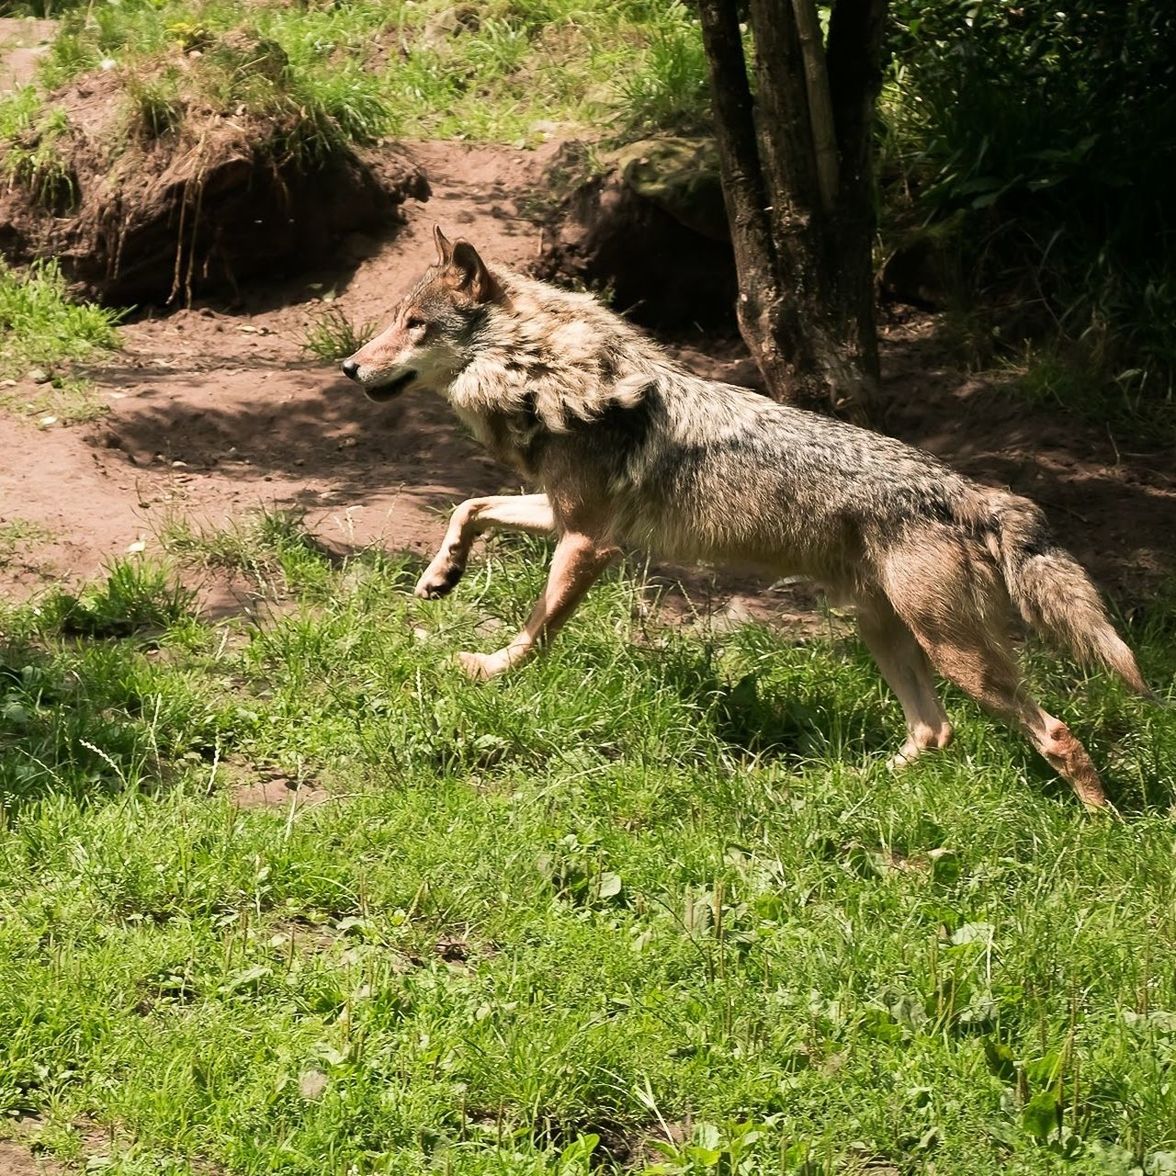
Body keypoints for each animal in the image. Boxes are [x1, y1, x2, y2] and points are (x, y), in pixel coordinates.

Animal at [341, 224, 1147, 804]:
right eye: (392, 322)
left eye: (415, 325)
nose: (348, 367)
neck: (548, 371)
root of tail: (967, 491)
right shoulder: (564, 514)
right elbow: (469, 506)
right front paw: (440, 577)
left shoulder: (589, 541)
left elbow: (537, 628)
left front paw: (490, 669)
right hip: (885, 632)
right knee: (934, 730)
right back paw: (847, 788)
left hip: (955, 653)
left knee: (1054, 732)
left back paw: (1101, 826)